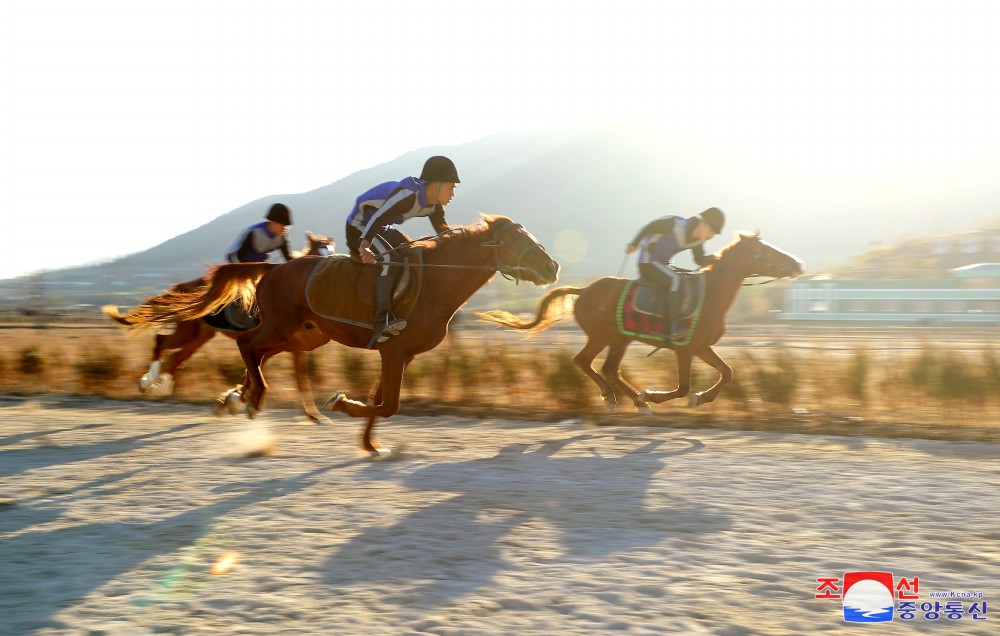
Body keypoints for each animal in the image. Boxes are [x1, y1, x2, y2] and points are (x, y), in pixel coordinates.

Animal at [102, 230, 336, 422]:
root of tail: (185, 285)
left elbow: (289, 376)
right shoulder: (277, 342)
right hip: (189, 332)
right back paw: (148, 382)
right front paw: (237, 400)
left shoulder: (292, 347)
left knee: (177, 356)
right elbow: (274, 372)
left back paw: (161, 387)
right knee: (162, 342)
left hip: (200, 336)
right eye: (320, 255)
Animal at [478, 231, 804, 414]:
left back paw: (635, 400)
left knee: (609, 369)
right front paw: (659, 396)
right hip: (602, 337)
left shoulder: (702, 347)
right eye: (762, 250)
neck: (711, 293)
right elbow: (683, 387)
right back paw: (619, 398)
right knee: (585, 362)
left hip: (620, 339)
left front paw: (701, 398)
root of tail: (584, 291)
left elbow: (728, 373)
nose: (797, 264)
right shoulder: (685, 350)